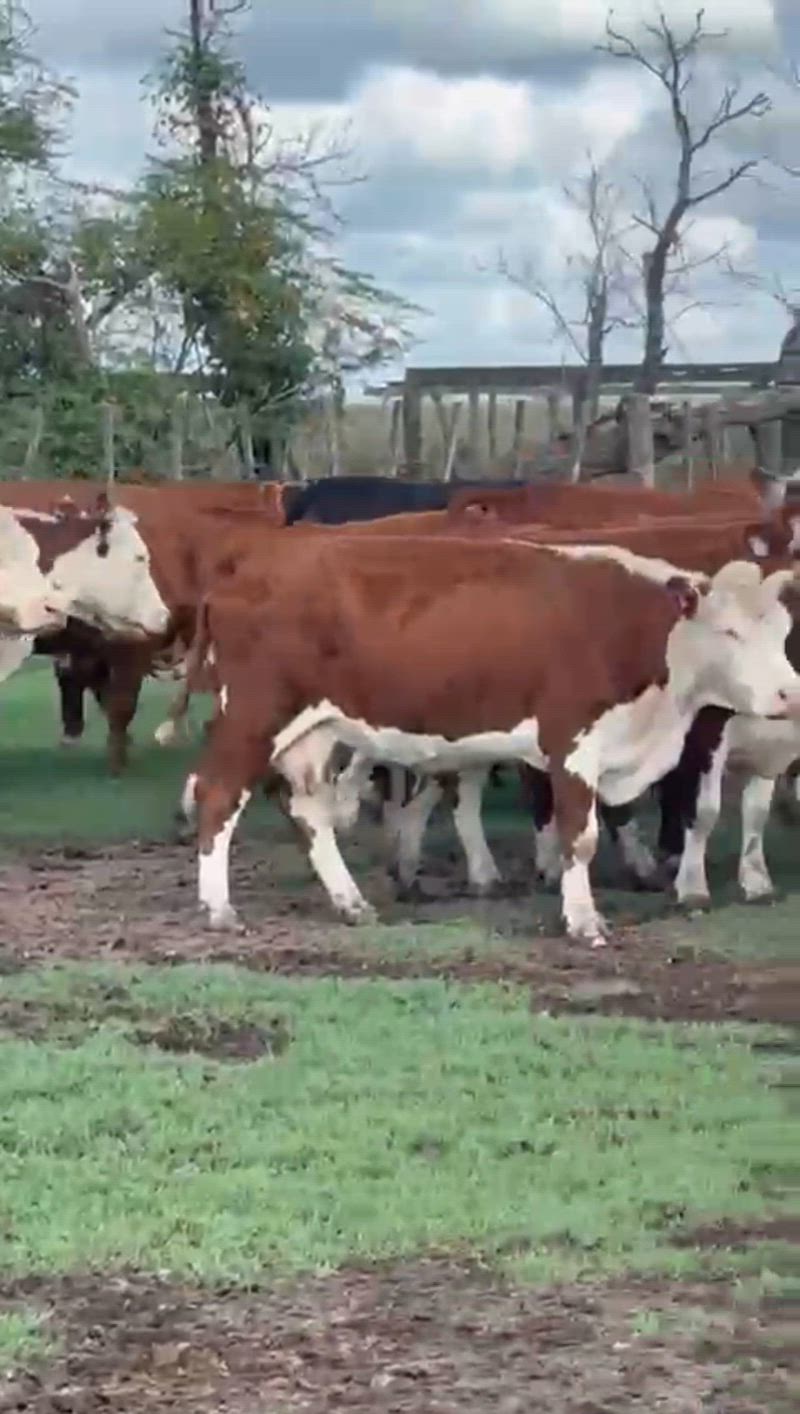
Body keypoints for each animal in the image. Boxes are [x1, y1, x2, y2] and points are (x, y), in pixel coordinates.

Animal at [166, 534, 800, 945]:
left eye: (783, 632)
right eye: (729, 631)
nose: (789, 694)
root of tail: (239, 575)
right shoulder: (572, 744)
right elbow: (580, 837)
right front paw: (583, 921)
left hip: (315, 730)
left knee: (308, 812)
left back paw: (351, 902)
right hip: (255, 714)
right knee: (217, 796)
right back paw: (219, 909)